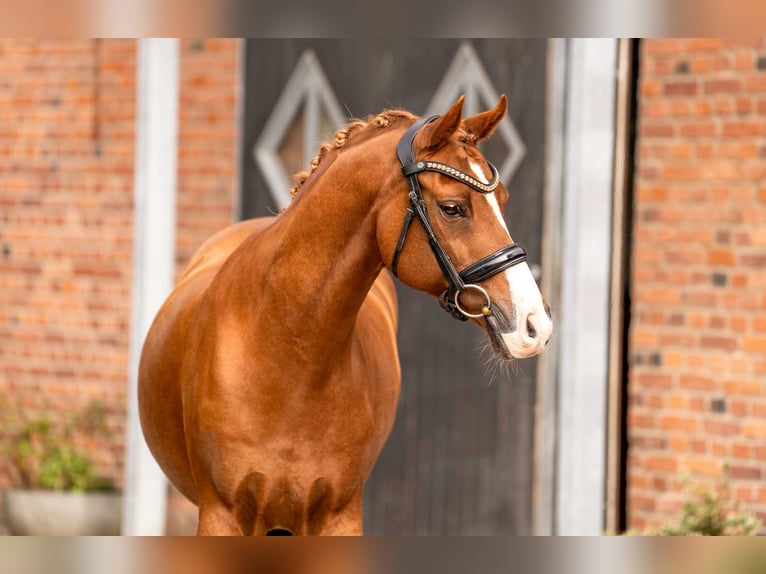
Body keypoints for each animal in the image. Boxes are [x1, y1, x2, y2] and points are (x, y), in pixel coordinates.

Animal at [138, 97, 556, 536]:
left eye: (503, 200)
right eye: (453, 208)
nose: (535, 324)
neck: (286, 353)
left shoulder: (341, 516)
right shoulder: (221, 514)